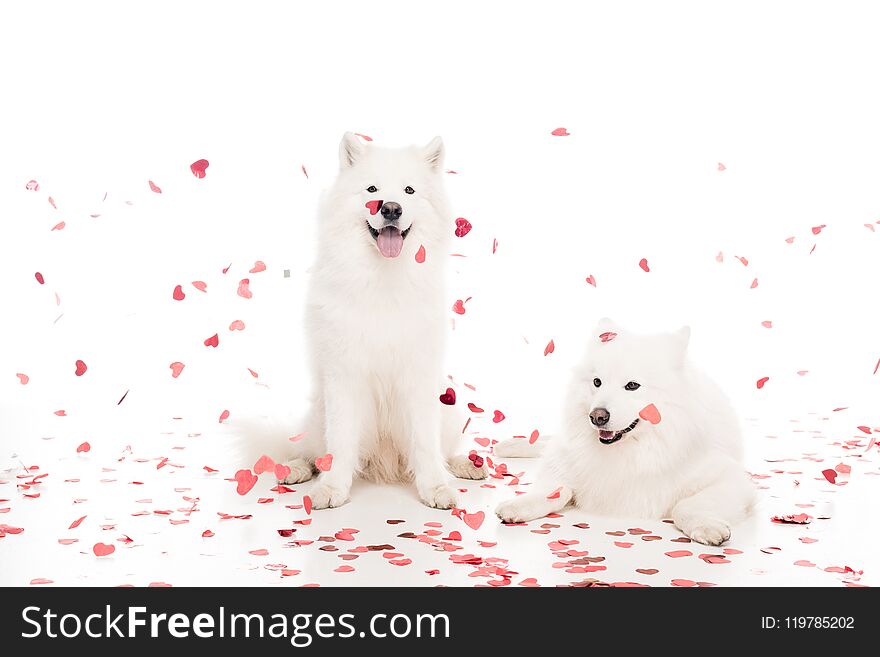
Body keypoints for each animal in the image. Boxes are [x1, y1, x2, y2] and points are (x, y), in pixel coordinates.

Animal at [241, 133, 484, 510]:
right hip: (318, 411)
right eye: (372, 189)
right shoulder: (343, 376)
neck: (383, 278)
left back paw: (465, 466)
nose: (391, 208)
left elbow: (425, 443)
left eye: (409, 190)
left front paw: (435, 488)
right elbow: (340, 444)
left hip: (450, 407)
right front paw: (332, 489)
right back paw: (295, 469)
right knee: (310, 451)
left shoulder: (419, 376)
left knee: (443, 450)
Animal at [496, 320, 756, 544]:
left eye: (632, 386)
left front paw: (707, 527)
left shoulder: (728, 476)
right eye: (597, 382)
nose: (597, 416)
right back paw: (509, 445)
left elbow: (684, 506)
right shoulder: (568, 462)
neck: (634, 447)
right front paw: (518, 505)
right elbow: (554, 489)